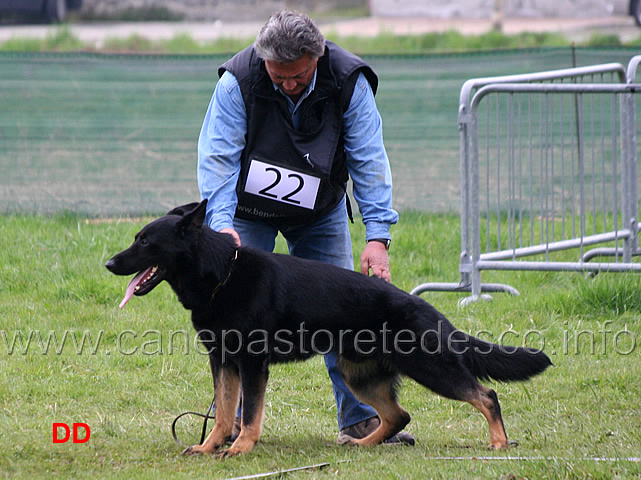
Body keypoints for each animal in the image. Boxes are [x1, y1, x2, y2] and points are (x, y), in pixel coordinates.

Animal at [105, 201, 552, 460]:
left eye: (145, 241)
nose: (109, 264)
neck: (220, 275)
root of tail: (430, 310)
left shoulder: (251, 365)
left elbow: (249, 415)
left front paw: (242, 447)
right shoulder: (224, 363)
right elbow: (224, 413)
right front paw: (209, 447)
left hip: (431, 369)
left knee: (486, 395)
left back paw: (498, 443)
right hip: (359, 376)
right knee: (399, 415)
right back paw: (364, 446)